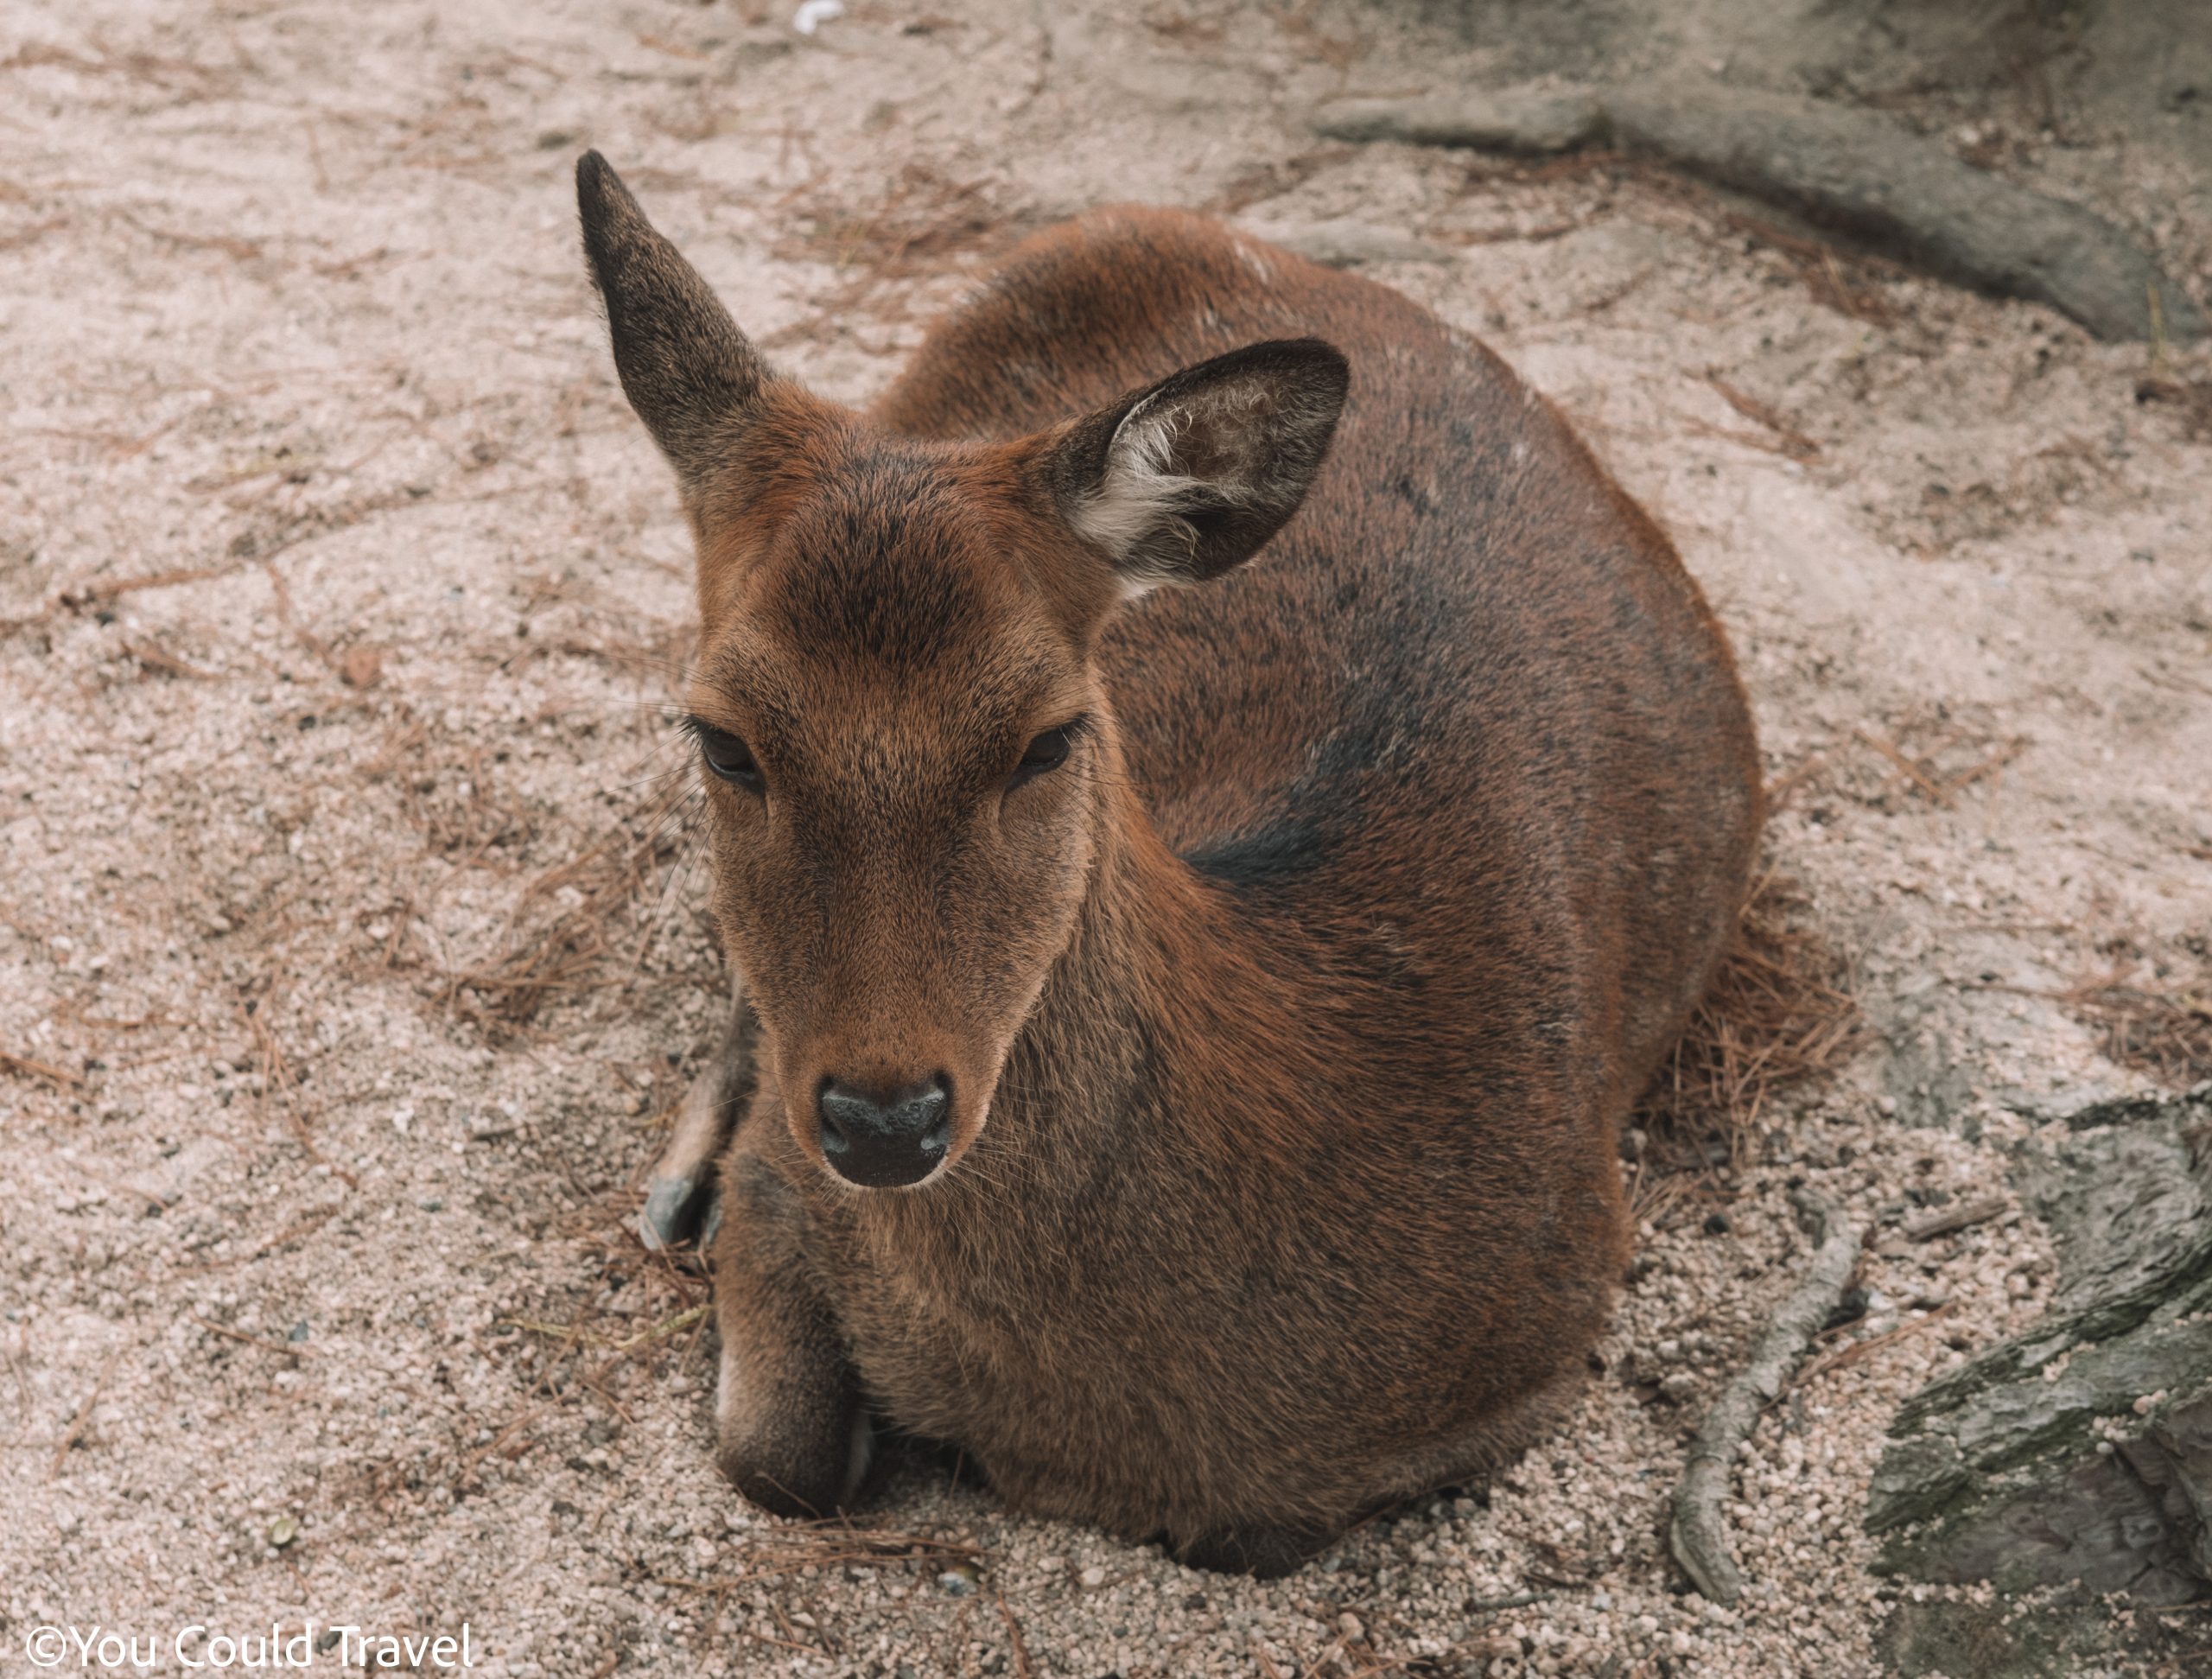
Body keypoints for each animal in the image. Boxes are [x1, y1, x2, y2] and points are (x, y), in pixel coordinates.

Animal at [575, 151, 1760, 1583]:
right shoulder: (788, 1175)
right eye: (723, 737)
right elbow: (776, 1454)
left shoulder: (1555, 1307)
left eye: (1049, 734)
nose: (884, 1115)